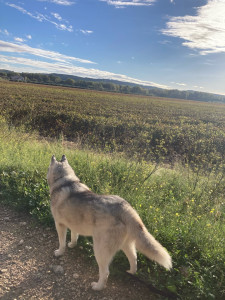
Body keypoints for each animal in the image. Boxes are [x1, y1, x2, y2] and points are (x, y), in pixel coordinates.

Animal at [46, 156, 171, 290]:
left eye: (48, 168)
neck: (65, 180)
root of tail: (125, 207)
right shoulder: (74, 224)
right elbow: (74, 236)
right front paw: (72, 244)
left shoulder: (59, 224)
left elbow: (61, 242)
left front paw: (60, 252)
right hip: (126, 244)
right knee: (134, 258)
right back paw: (131, 272)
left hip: (100, 249)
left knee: (105, 272)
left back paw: (98, 286)